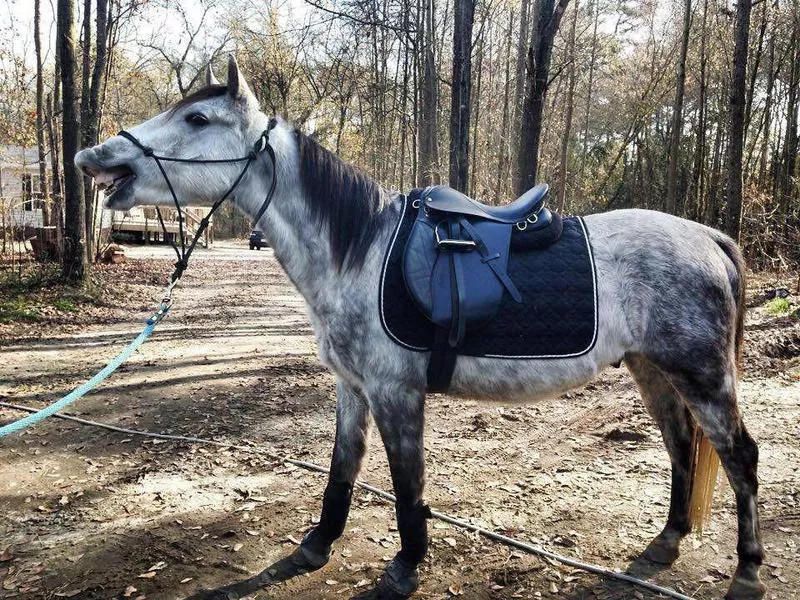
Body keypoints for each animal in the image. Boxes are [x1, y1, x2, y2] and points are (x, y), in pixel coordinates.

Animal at [76, 56, 768, 600]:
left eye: (197, 119)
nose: (92, 157)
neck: (357, 250)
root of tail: (707, 237)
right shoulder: (352, 390)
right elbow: (342, 471)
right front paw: (316, 546)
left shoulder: (395, 393)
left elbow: (406, 484)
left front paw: (405, 567)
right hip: (654, 370)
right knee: (680, 447)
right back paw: (666, 543)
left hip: (703, 376)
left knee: (739, 457)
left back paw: (747, 573)